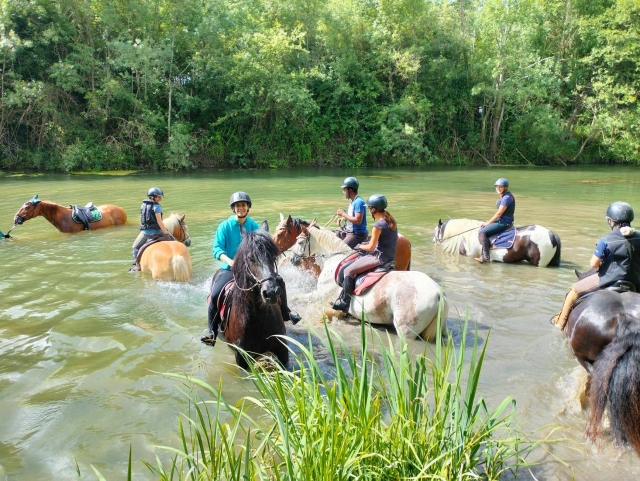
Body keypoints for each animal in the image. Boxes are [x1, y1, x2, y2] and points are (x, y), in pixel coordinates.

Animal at [290, 225, 447, 341]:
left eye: (300, 242)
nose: (292, 259)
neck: (334, 260)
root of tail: (438, 294)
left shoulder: (319, 294)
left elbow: (297, 297)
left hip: (406, 331)